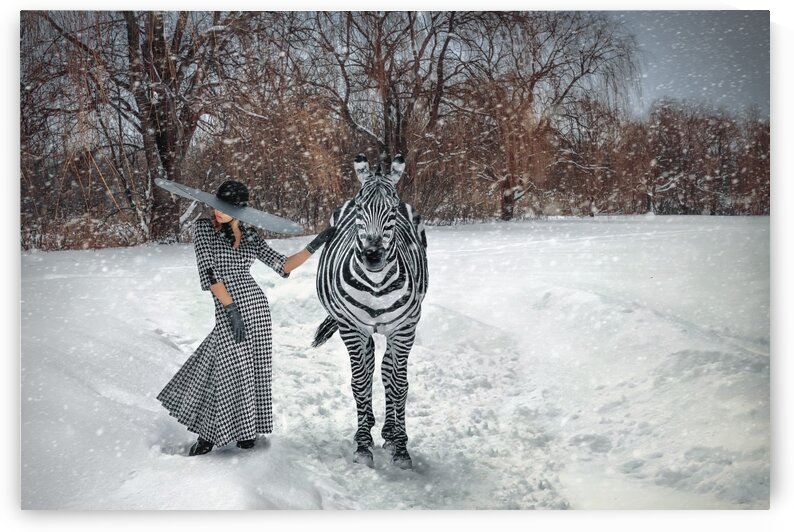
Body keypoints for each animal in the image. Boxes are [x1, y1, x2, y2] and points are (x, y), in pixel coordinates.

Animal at [312, 153, 428, 470]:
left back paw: (390, 432)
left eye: (393, 210)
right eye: (360, 207)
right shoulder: (352, 329)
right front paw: (363, 445)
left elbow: (399, 384)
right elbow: (361, 383)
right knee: (368, 370)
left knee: (388, 371)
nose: (373, 256)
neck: (376, 284)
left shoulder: (405, 329)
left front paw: (401, 448)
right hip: (359, 330)